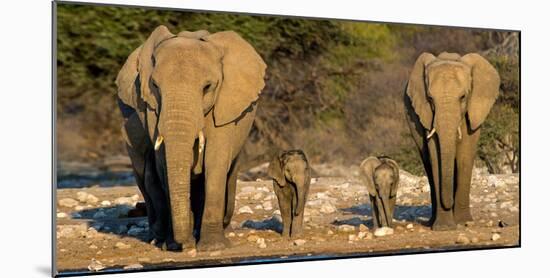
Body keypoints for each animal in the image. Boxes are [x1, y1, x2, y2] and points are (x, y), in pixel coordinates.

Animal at [116, 26, 268, 251]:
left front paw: (213, 247)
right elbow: (165, 165)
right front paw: (175, 245)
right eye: (155, 86)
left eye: (207, 87)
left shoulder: (224, 106)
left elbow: (216, 161)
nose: (182, 242)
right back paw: (158, 237)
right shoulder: (152, 109)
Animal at [404, 51, 502, 230]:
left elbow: (464, 155)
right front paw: (443, 228)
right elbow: (436, 156)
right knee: (428, 164)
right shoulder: (427, 114)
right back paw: (431, 222)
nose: (448, 203)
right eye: (430, 98)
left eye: (463, 97)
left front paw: (463, 222)